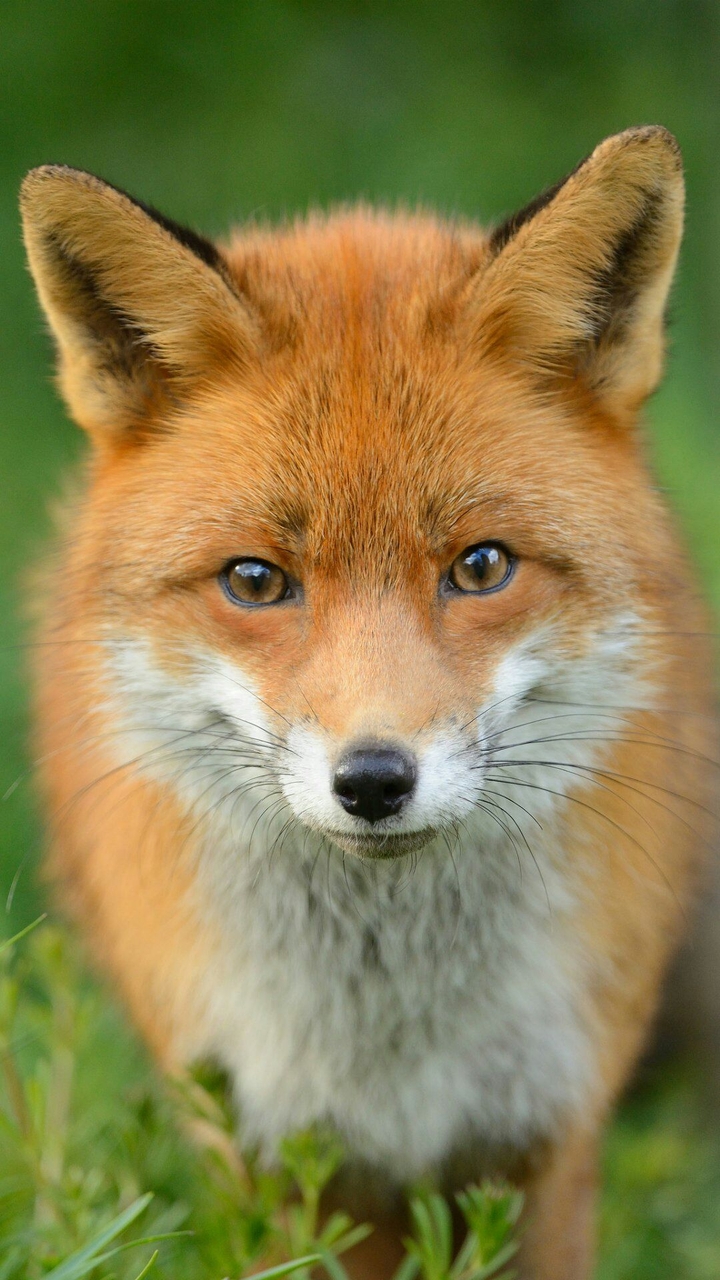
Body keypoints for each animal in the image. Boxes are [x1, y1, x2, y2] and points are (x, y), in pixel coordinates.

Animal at [19, 126, 718, 1279]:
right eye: (256, 580)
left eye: (481, 566)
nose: (376, 779)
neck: (390, 1040)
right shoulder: (272, 1147)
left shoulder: (546, 1129)